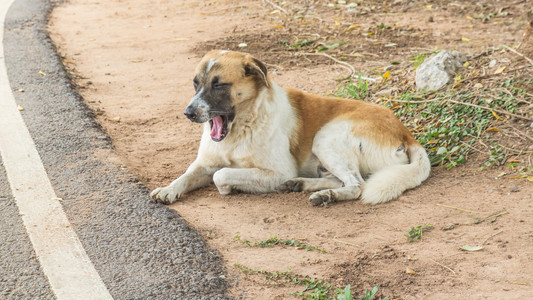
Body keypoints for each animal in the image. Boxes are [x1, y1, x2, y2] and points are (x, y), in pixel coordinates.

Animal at [149, 50, 428, 205]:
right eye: (196, 83)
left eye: (219, 85)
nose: (188, 113)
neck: (242, 128)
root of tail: (406, 134)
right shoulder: (204, 164)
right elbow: (185, 176)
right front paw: (168, 190)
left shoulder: (277, 172)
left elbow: (222, 174)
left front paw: (228, 188)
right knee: (339, 179)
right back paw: (302, 185)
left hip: (326, 137)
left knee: (357, 185)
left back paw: (327, 196)